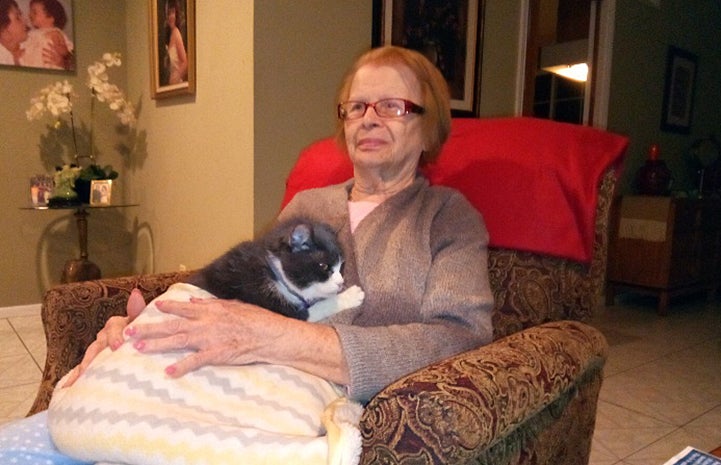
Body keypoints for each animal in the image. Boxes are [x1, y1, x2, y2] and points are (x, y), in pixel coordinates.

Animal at [187, 217, 366, 320]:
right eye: (323, 266)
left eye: (342, 266)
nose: (340, 283)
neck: (274, 273)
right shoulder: (268, 301)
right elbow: (319, 307)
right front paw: (350, 295)